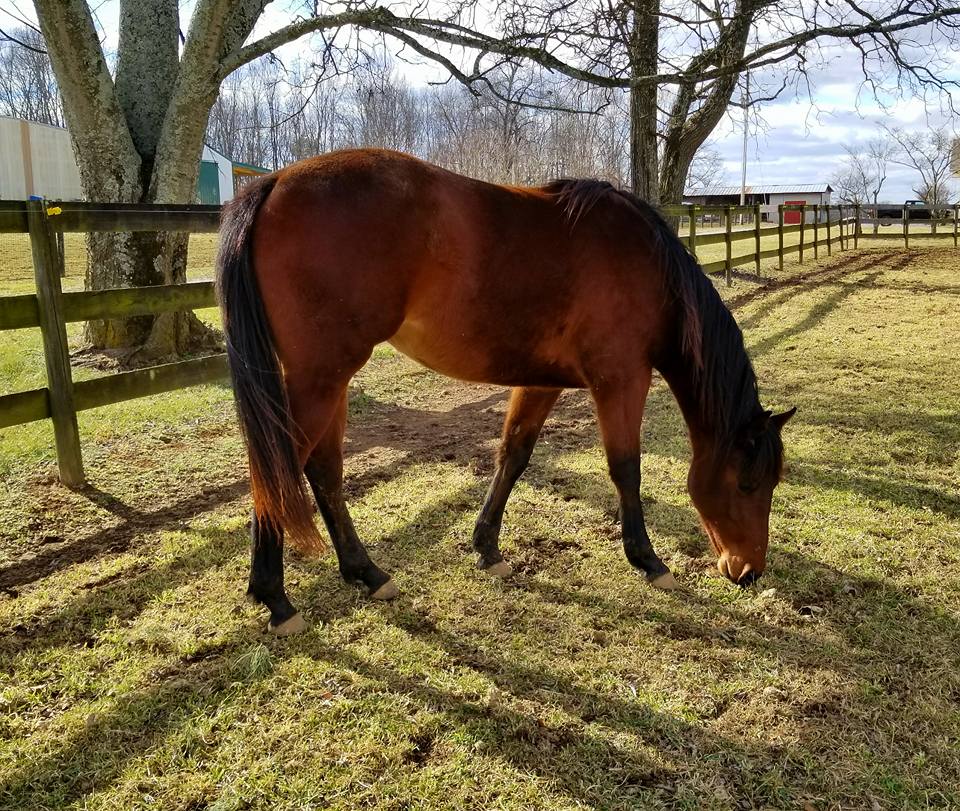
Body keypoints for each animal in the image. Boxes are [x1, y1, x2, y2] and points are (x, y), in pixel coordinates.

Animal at [218, 149, 796, 636]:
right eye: (747, 484)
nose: (748, 571)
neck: (650, 271)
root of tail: (273, 183)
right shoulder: (621, 380)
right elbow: (626, 469)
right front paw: (648, 560)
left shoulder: (539, 382)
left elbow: (513, 456)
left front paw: (487, 547)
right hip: (321, 379)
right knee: (280, 471)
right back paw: (275, 598)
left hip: (330, 380)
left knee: (323, 471)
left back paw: (365, 572)